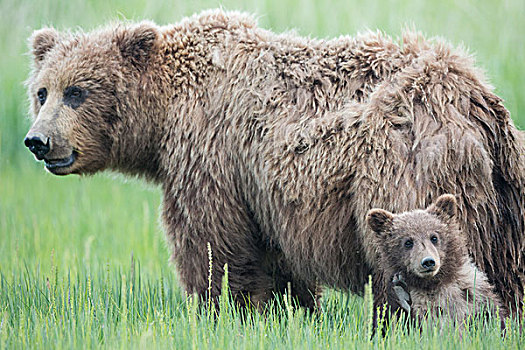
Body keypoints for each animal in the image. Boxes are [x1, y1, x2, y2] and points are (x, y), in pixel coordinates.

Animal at [24, 9, 524, 314]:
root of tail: (478, 97)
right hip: (503, 199)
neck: (164, 117)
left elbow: (214, 247)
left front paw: (222, 309)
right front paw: (290, 311)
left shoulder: (211, 156)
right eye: (43, 91)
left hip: (402, 167)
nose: (38, 141)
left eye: (77, 91)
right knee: (505, 269)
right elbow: (280, 267)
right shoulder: (265, 195)